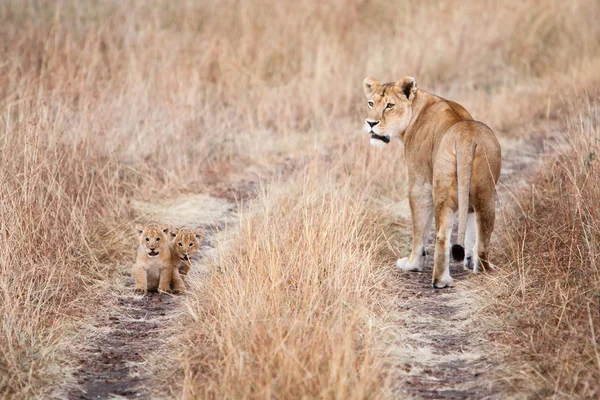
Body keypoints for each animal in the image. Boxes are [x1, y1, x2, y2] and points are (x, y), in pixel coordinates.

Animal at [366, 76, 502, 288]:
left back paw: (440, 280)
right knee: (482, 236)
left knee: (442, 236)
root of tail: (466, 139)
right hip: (486, 192)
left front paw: (412, 263)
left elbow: (419, 228)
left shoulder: (419, 184)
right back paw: (482, 269)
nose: (370, 123)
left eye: (389, 105)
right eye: (371, 103)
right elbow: (471, 226)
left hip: (442, 192)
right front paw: (468, 260)